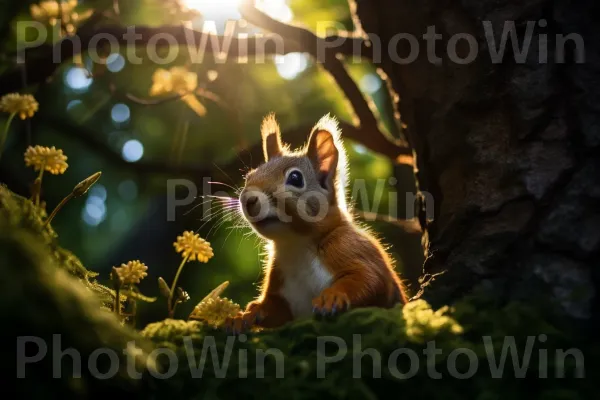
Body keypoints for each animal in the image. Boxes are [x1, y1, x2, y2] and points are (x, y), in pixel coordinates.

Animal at [225, 113, 408, 334]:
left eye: (295, 178)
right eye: (249, 176)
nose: (247, 199)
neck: (297, 244)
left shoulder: (353, 249)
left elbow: (368, 279)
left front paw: (332, 297)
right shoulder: (281, 286)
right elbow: (274, 310)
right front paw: (245, 314)